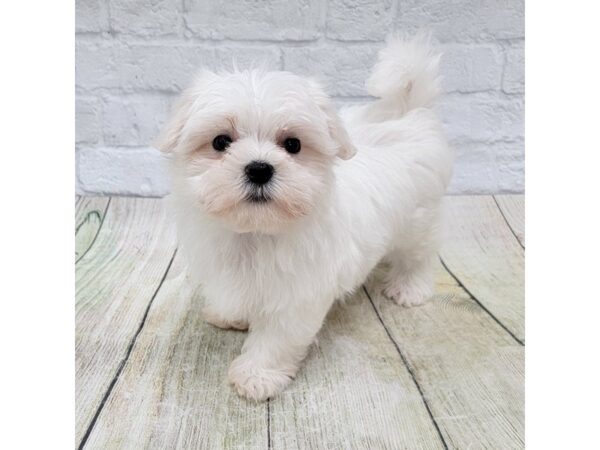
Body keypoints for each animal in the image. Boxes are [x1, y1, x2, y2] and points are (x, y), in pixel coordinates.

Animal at [157, 35, 452, 400]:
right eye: (220, 141)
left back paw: (410, 288)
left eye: (293, 145)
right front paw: (231, 315)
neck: (256, 232)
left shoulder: (296, 295)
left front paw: (257, 375)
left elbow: (276, 339)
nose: (259, 168)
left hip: (418, 221)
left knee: (419, 255)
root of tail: (407, 113)